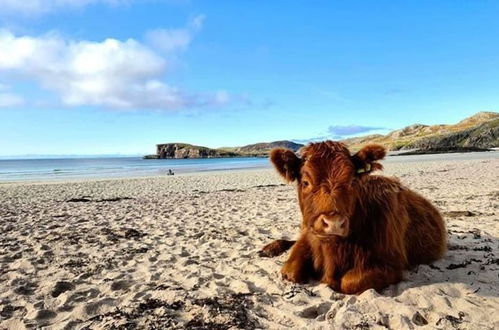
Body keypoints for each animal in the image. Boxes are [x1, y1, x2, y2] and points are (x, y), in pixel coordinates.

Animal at [264, 141, 448, 294]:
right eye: (306, 182)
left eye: (352, 181)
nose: (334, 223)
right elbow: (290, 271)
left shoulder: (392, 265)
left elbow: (349, 282)